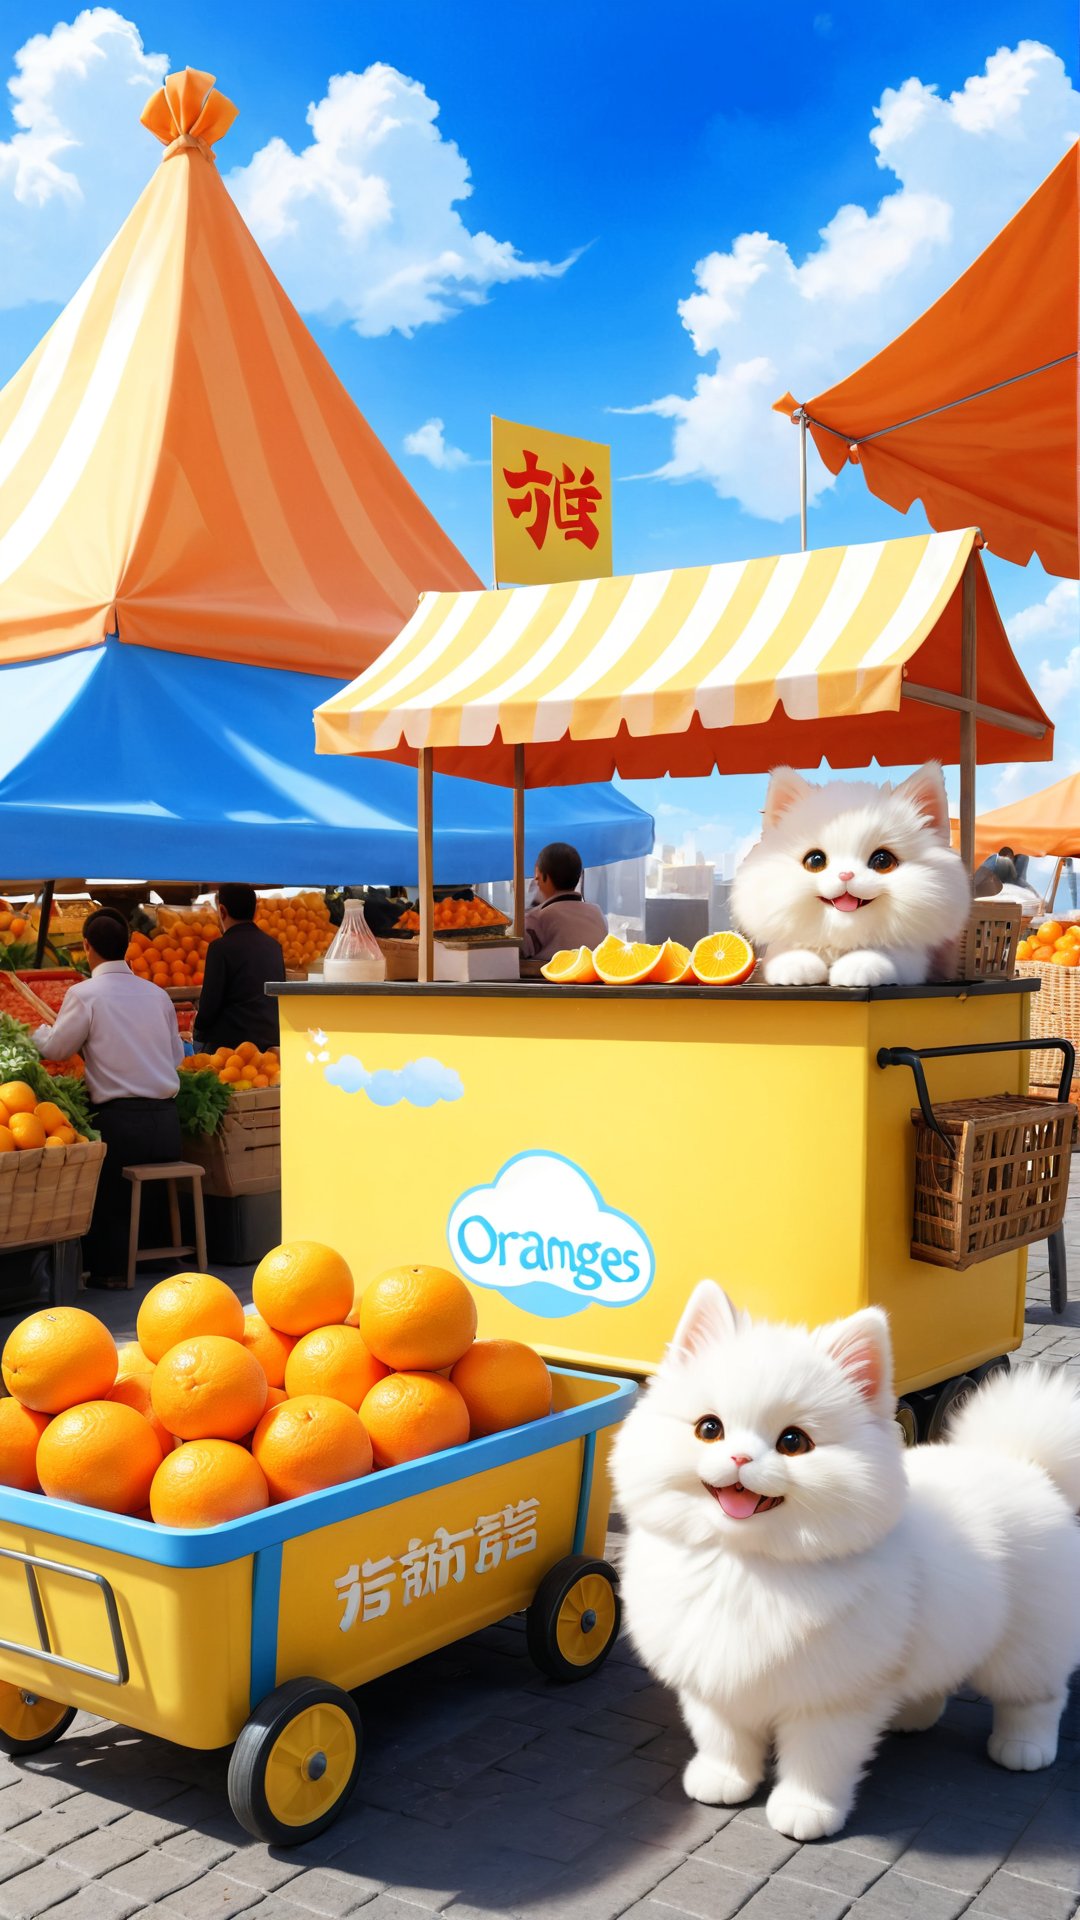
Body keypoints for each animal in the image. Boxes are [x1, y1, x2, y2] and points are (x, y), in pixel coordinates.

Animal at [611, 1290, 1076, 1843]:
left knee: (1037, 1698)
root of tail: (1027, 1466)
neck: (746, 1565)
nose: (741, 1458)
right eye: (709, 1429)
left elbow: (818, 1759)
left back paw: (1024, 1749)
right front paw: (724, 1780)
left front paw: (805, 1810)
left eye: (793, 1442)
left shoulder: (831, 1697)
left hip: (1025, 1645)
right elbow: (723, 1737)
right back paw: (914, 1715)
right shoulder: (714, 1679)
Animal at [730, 756, 968, 990]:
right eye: (815, 861)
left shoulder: (912, 958)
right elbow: (791, 952)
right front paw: (797, 967)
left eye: (883, 861)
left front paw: (858, 968)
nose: (846, 874)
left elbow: (883, 954)